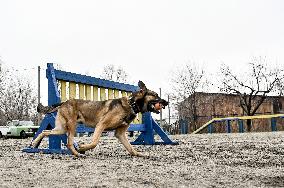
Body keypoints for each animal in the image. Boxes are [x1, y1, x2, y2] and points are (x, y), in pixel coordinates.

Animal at [32, 81, 169, 157]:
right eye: (155, 95)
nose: (166, 102)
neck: (132, 104)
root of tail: (64, 102)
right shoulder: (101, 125)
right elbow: (94, 143)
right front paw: (82, 147)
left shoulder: (120, 134)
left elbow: (131, 148)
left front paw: (138, 154)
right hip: (71, 126)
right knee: (69, 143)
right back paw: (77, 153)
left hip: (62, 128)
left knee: (45, 131)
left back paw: (34, 143)